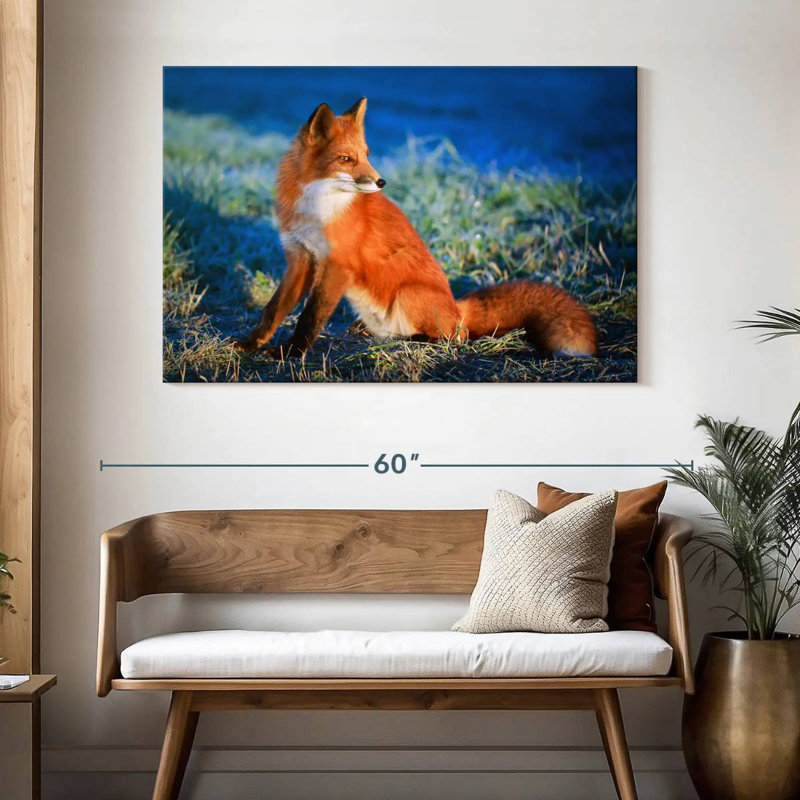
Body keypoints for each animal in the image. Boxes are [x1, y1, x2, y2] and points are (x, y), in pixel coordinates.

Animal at [236, 97, 597, 358]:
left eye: (366, 155)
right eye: (346, 159)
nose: (381, 181)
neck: (317, 207)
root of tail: (457, 308)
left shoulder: (337, 265)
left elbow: (310, 318)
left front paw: (290, 354)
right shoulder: (300, 258)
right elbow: (273, 310)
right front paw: (251, 344)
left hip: (408, 294)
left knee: (455, 338)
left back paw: (419, 340)